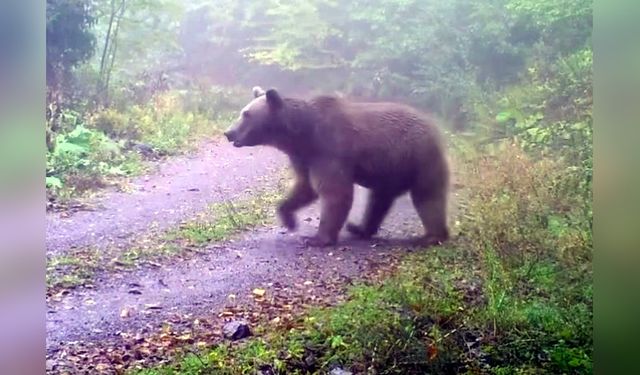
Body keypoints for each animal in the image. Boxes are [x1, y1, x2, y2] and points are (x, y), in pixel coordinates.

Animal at [225, 86, 450, 248]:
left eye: (246, 114)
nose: (229, 133)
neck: (301, 135)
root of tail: (434, 125)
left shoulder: (329, 149)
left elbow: (334, 192)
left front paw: (316, 238)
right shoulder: (304, 158)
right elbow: (305, 187)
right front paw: (289, 219)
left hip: (419, 158)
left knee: (428, 196)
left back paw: (432, 236)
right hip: (391, 170)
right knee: (379, 200)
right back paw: (359, 228)